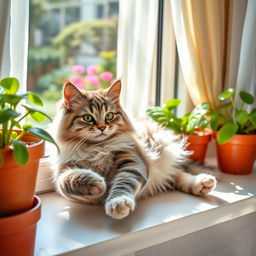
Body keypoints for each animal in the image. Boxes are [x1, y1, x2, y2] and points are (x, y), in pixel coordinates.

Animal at [53, 80, 217, 220]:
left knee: (179, 173)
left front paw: (118, 204)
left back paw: (204, 182)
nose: (102, 128)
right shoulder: (64, 170)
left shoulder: (132, 161)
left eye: (109, 116)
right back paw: (202, 185)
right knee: (174, 177)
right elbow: (70, 179)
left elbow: (123, 184)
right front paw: (98, 183)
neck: (97, 147)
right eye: (87, 118)